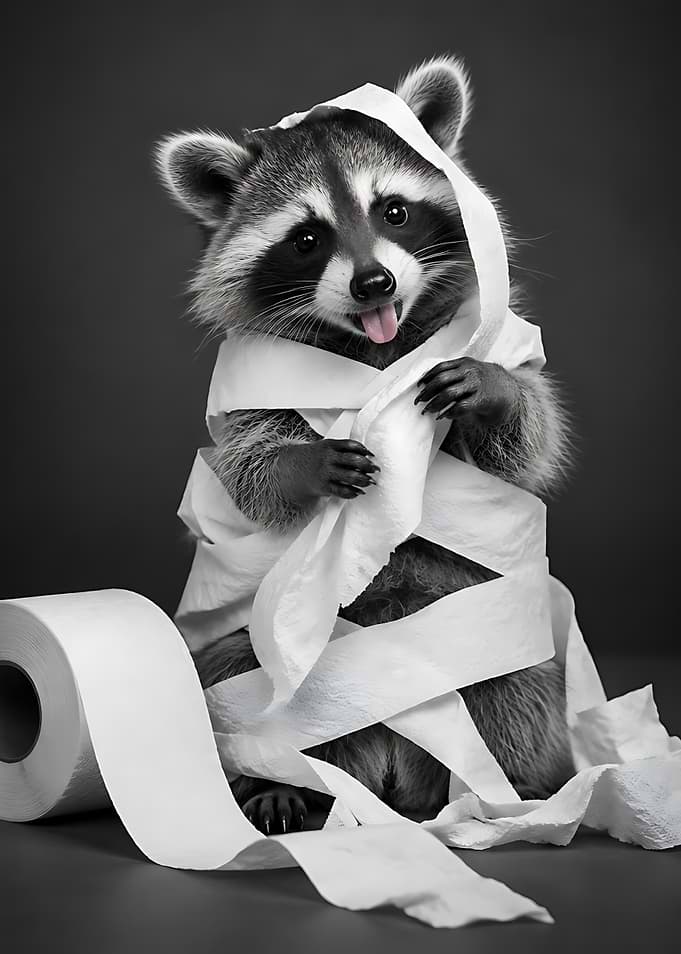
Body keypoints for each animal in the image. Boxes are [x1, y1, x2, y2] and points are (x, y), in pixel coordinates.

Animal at [157, 56, 575, 835]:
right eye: (307, 238)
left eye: (394, 212)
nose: (372, 282)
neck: (376, 341)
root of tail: (387, 767)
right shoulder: (256, 387)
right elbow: (245, 467)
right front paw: (299, 465)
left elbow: (527, 444)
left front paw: (495, 390)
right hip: (261, 667)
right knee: (233, 666)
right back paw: (283, 783)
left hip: (487, 642)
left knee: (513, 689)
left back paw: (508, 792)